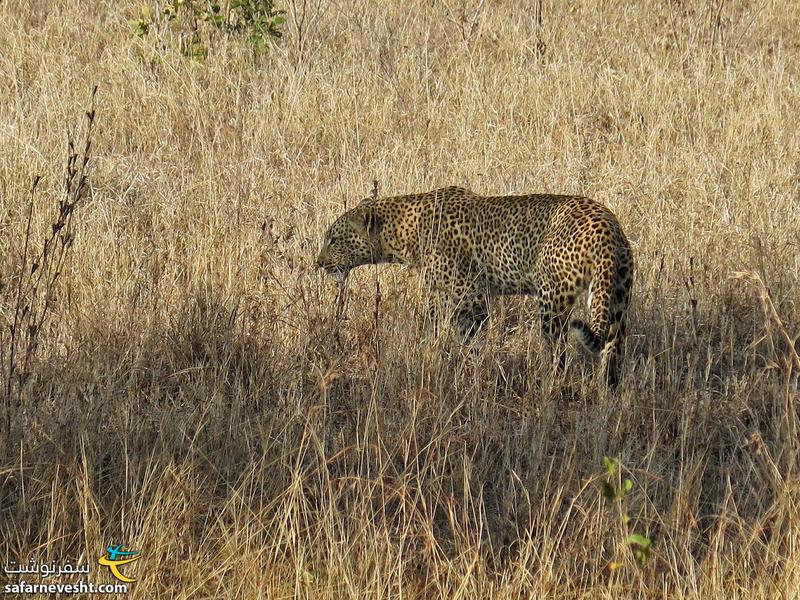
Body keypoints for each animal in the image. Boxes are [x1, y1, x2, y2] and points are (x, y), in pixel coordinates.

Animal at [316, 185, 636, 386]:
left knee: (557, 353)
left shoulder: (469, 297)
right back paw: (607, 394)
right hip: (617, 297)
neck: (402, 231)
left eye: (333, 238)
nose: (318, 263)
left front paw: (467, 373)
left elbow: (466, 340)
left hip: (552, 300)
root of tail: (606, 227)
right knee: (613, 352)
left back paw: (548, 387)